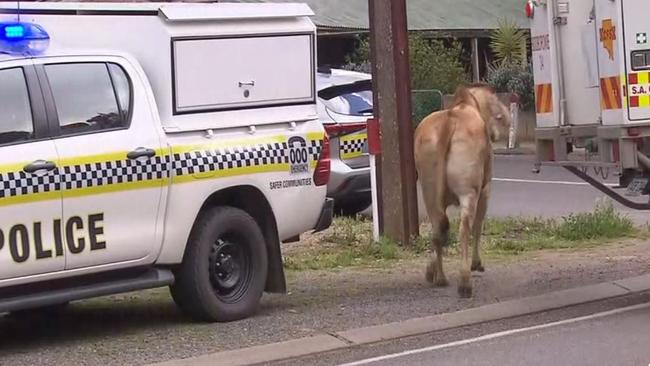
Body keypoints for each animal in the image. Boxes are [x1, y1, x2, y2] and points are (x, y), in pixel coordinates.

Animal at [416, 83, 512, 298]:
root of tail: (450, 120)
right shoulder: (485, 190)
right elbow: (478, 226)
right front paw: (476, 263)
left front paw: (430, 270)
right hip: (470, 191)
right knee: (464, 228)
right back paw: (465, 281)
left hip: (428, 189)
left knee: (438, 229)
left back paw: (441, 278)